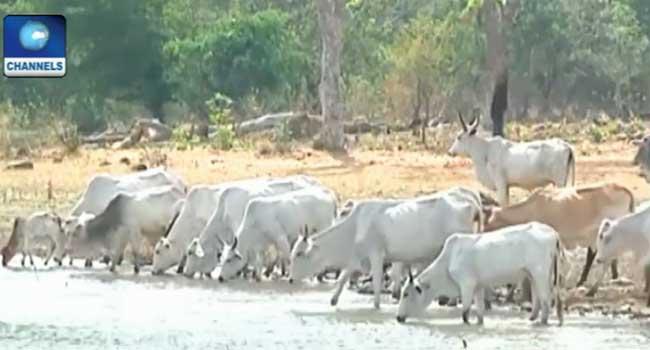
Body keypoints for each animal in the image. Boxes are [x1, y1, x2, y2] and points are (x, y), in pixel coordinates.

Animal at [290, 189, 480, 308]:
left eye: (299, 253)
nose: (290, 280)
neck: (355, 227)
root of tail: (469, 201)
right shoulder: (356, 258)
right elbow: (343, 278)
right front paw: (333, 300)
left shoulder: (376, 255)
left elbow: (376, 281)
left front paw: (376, 306)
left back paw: (452, 302)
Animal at [394, 223, 560, 326]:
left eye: (406, 294)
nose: (398, 317)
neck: (449, 260)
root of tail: (552, 232)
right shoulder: (478, 286)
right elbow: (479, 310)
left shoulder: (466, 285)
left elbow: (465, 313)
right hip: (534, 275)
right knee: (539, 297)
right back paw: (533, 318)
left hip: (540, 274)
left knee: (546, 300)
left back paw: (542, 321)